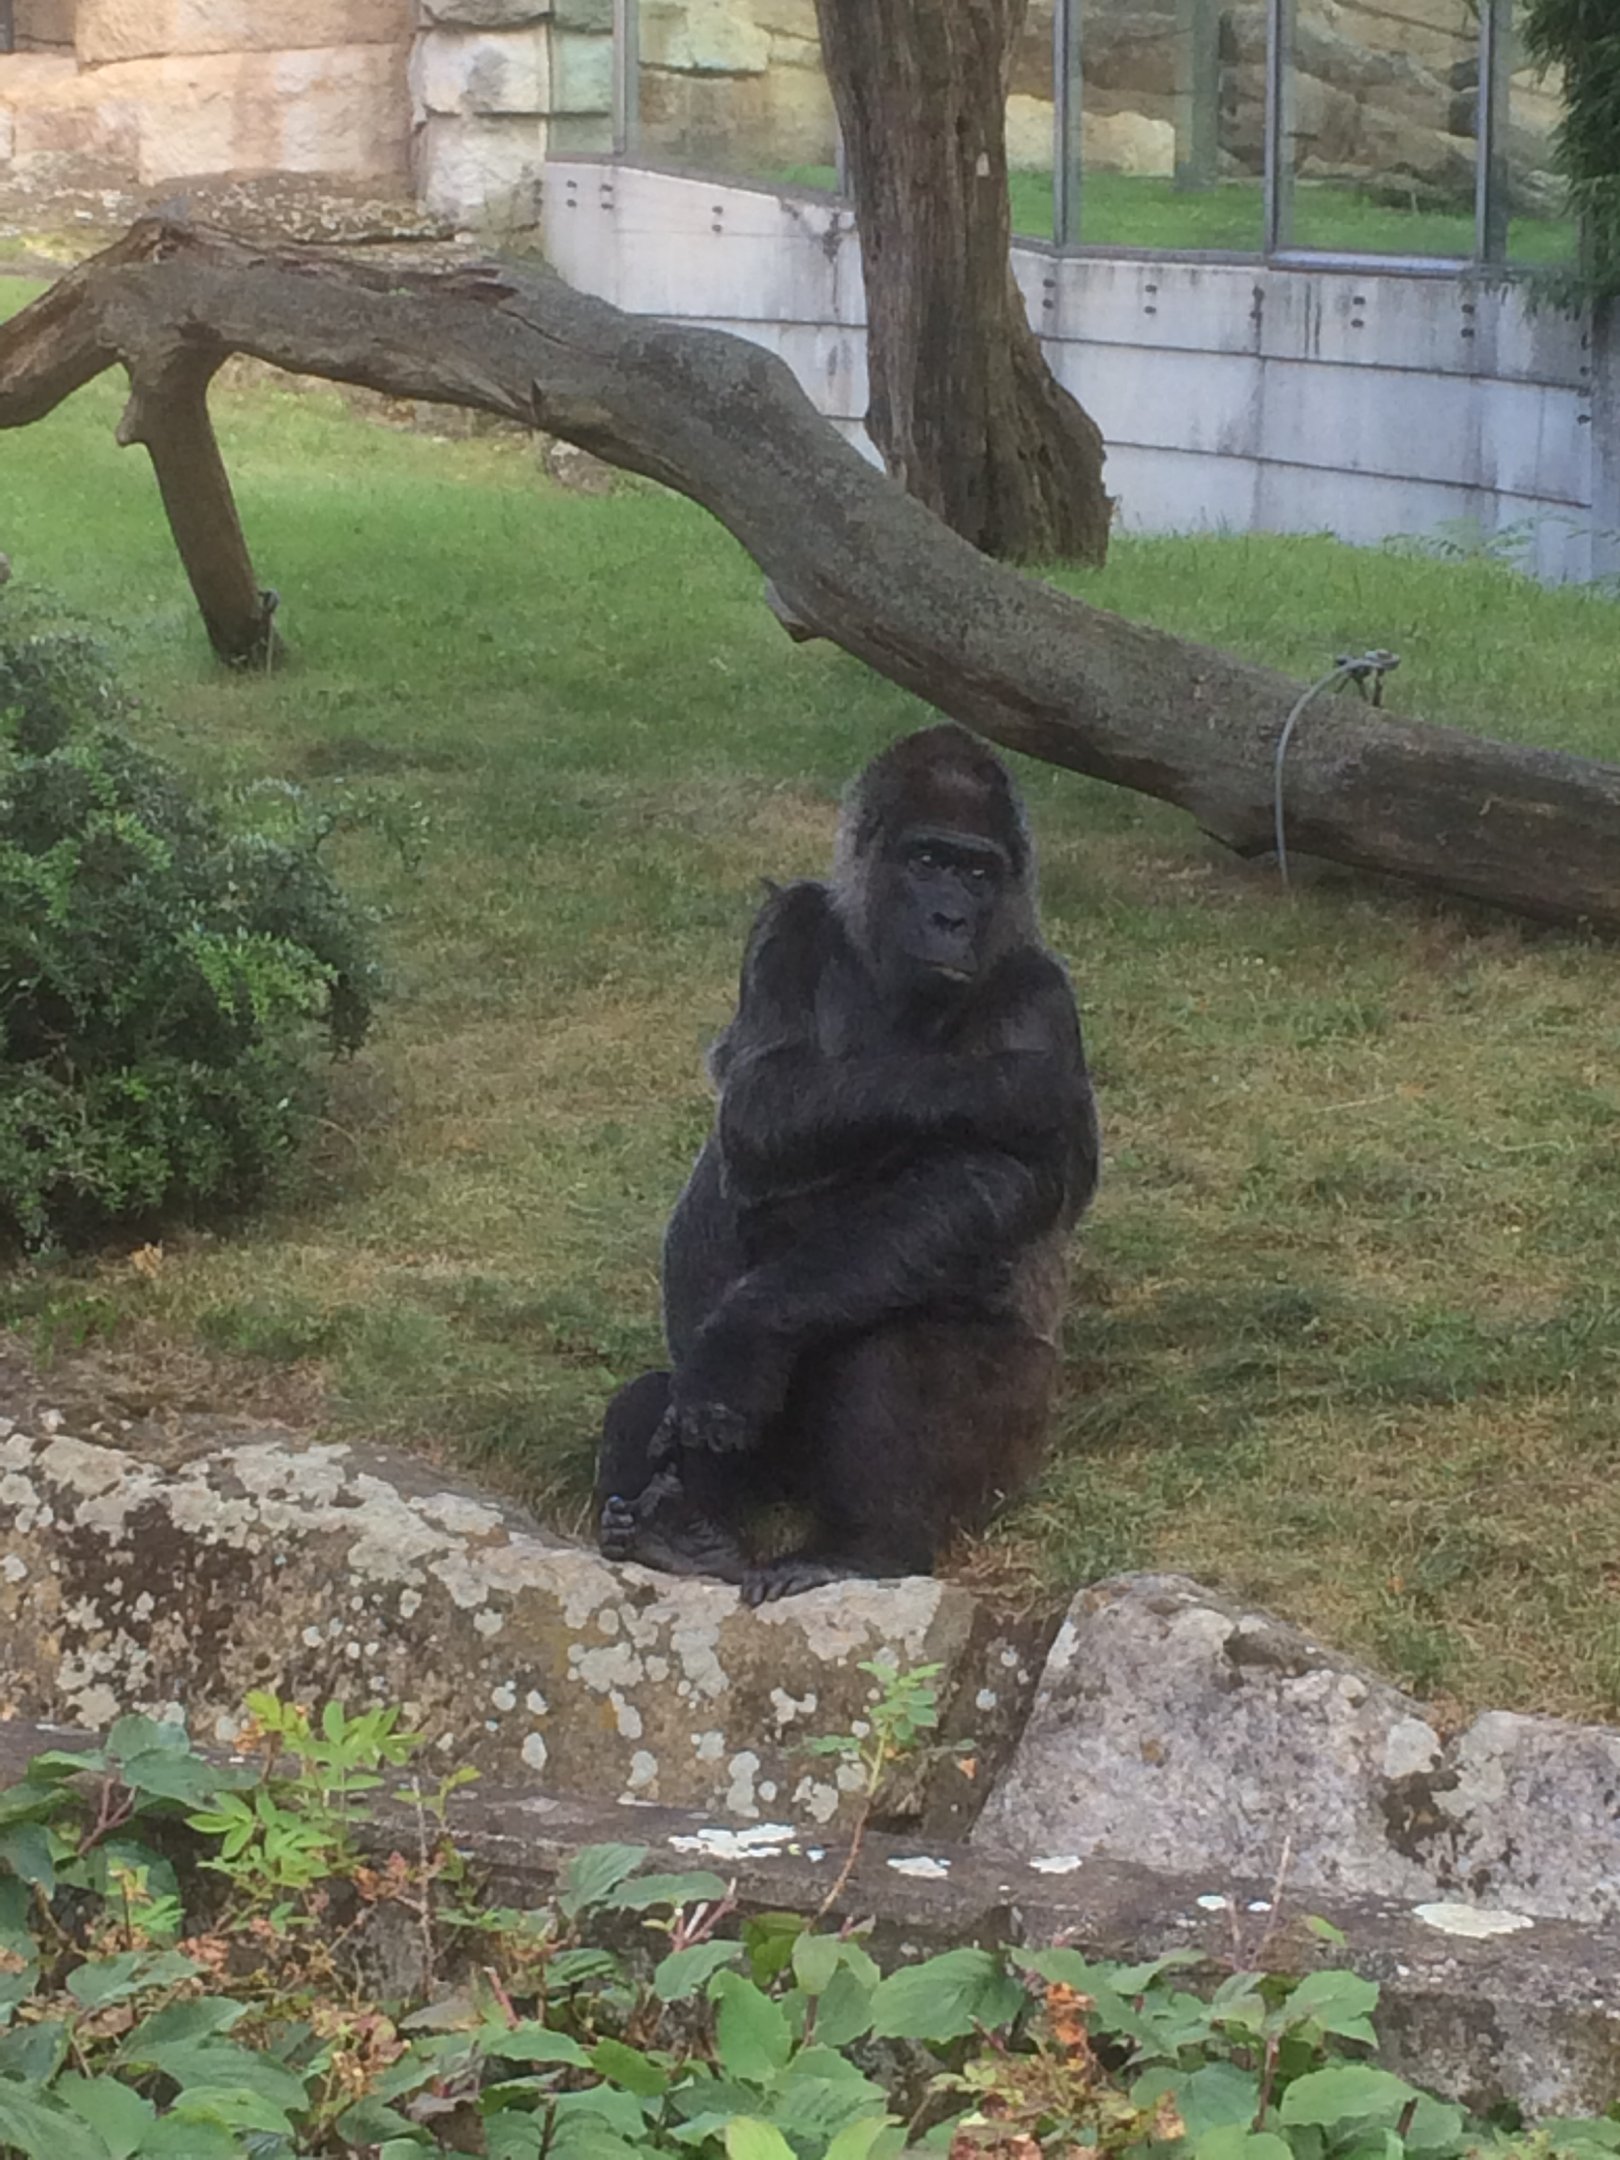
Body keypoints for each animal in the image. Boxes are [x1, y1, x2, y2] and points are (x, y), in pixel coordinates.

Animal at [595, 723, 1099, 1603]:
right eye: (928, 860)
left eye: (978, 871)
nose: (951, 917)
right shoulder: (789, 921)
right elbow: (762, 1095)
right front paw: (1006, 1089)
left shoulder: (1040, 991)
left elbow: (994, 1178)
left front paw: (748, 1334)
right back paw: (683, 1525)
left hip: (1010, 1457)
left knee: (875, 1341)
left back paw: (865, 1549)